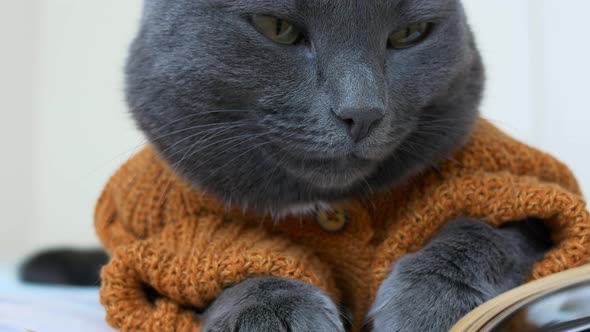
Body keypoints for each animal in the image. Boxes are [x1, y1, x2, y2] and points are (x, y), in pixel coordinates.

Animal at [20, 1, 552, 330]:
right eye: (277, 28)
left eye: (409, 35)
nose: (363, 111)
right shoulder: (174, 230)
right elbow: (224, 260)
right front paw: (272, 315)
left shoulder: (513, 179)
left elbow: (490, 229)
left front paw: (433, 303)